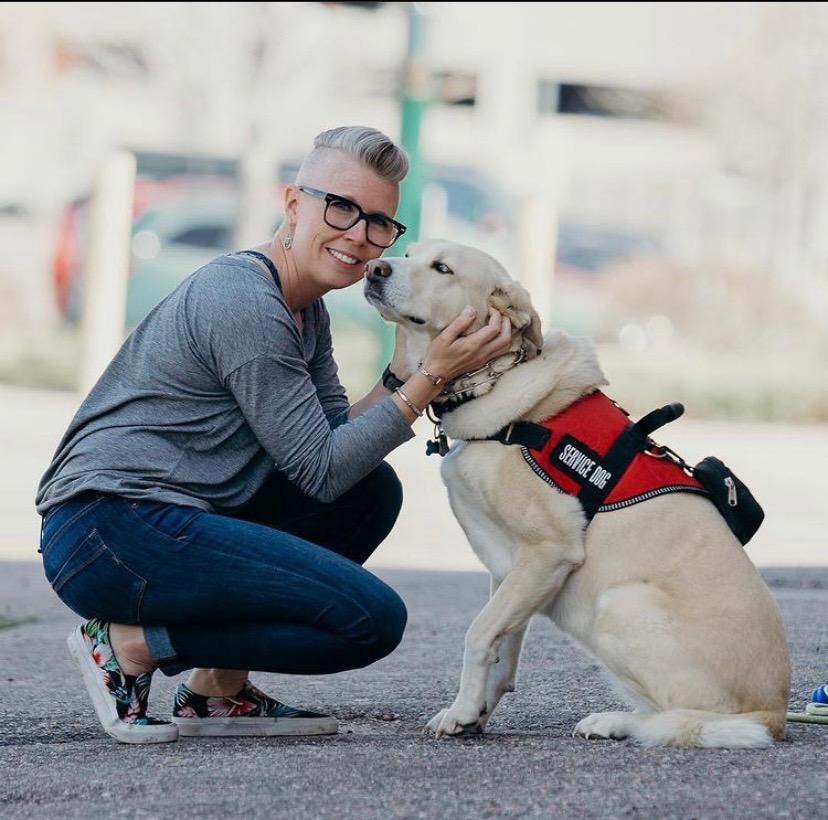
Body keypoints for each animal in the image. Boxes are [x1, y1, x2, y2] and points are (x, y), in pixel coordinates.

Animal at [368, 239, 788, 748]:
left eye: (442, 268)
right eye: (407, 253)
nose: (373, 269)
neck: (498, 385)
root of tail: (776, 712)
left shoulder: (549, 551)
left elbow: (478, 633)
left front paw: (464, 709)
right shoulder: (511, 567)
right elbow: (501, 651)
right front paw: (474, 713)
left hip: (619, 605)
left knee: (685, 718)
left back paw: (614, 722)